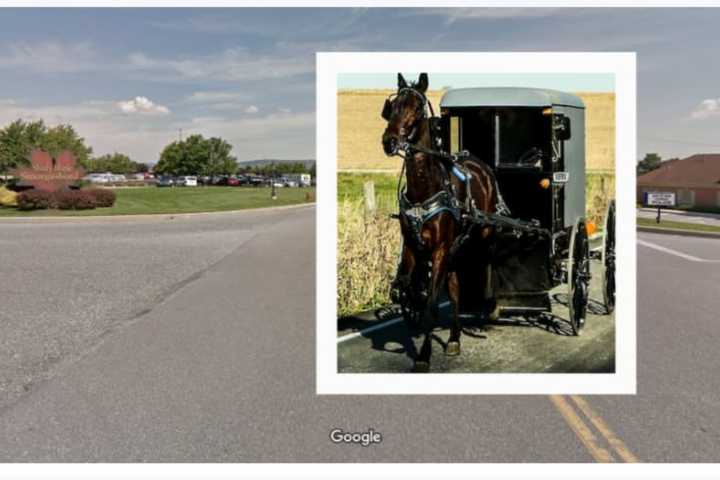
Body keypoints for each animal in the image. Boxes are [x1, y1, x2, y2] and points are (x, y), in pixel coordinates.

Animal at [382, 71, 500, 374]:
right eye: (392, 106)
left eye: (416, 107)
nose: (389, 141)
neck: (425, 188)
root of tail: (480, 165)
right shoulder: (412, 246)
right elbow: (409, 288)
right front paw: (409, 299)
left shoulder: (439, 250)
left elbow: (432, 305)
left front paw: (423, 355)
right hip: (455, 248)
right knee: (456, 287)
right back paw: (455, 337)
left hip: (483, 233)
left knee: (488, 263)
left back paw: (490, 306)